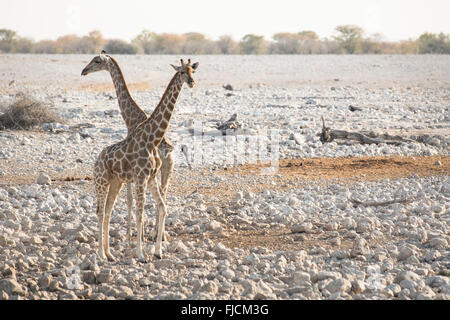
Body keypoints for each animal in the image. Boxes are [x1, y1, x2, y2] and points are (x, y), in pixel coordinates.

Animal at [81, 51, 174, 244]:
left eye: (97, 61)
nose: (84, 71)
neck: (130, 118)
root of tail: (169, 150)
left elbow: (130, 199)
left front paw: (132, 235)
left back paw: (155, 235)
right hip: (167, 169)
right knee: (164, 194)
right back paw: (161, 235)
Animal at [94, 59, 198, 262]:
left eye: (192, 70)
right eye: (182, 71)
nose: (191, 82)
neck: (153, 139)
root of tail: (97, 160)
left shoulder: (150, 177)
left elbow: (162, 207)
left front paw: (158, 251)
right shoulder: (140, 178)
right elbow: (140, 213)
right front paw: (141, 254)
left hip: (116, 181)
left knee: (108, 210)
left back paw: (110, 254)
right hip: (101, 181)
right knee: (101, 212)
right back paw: (101, 254)